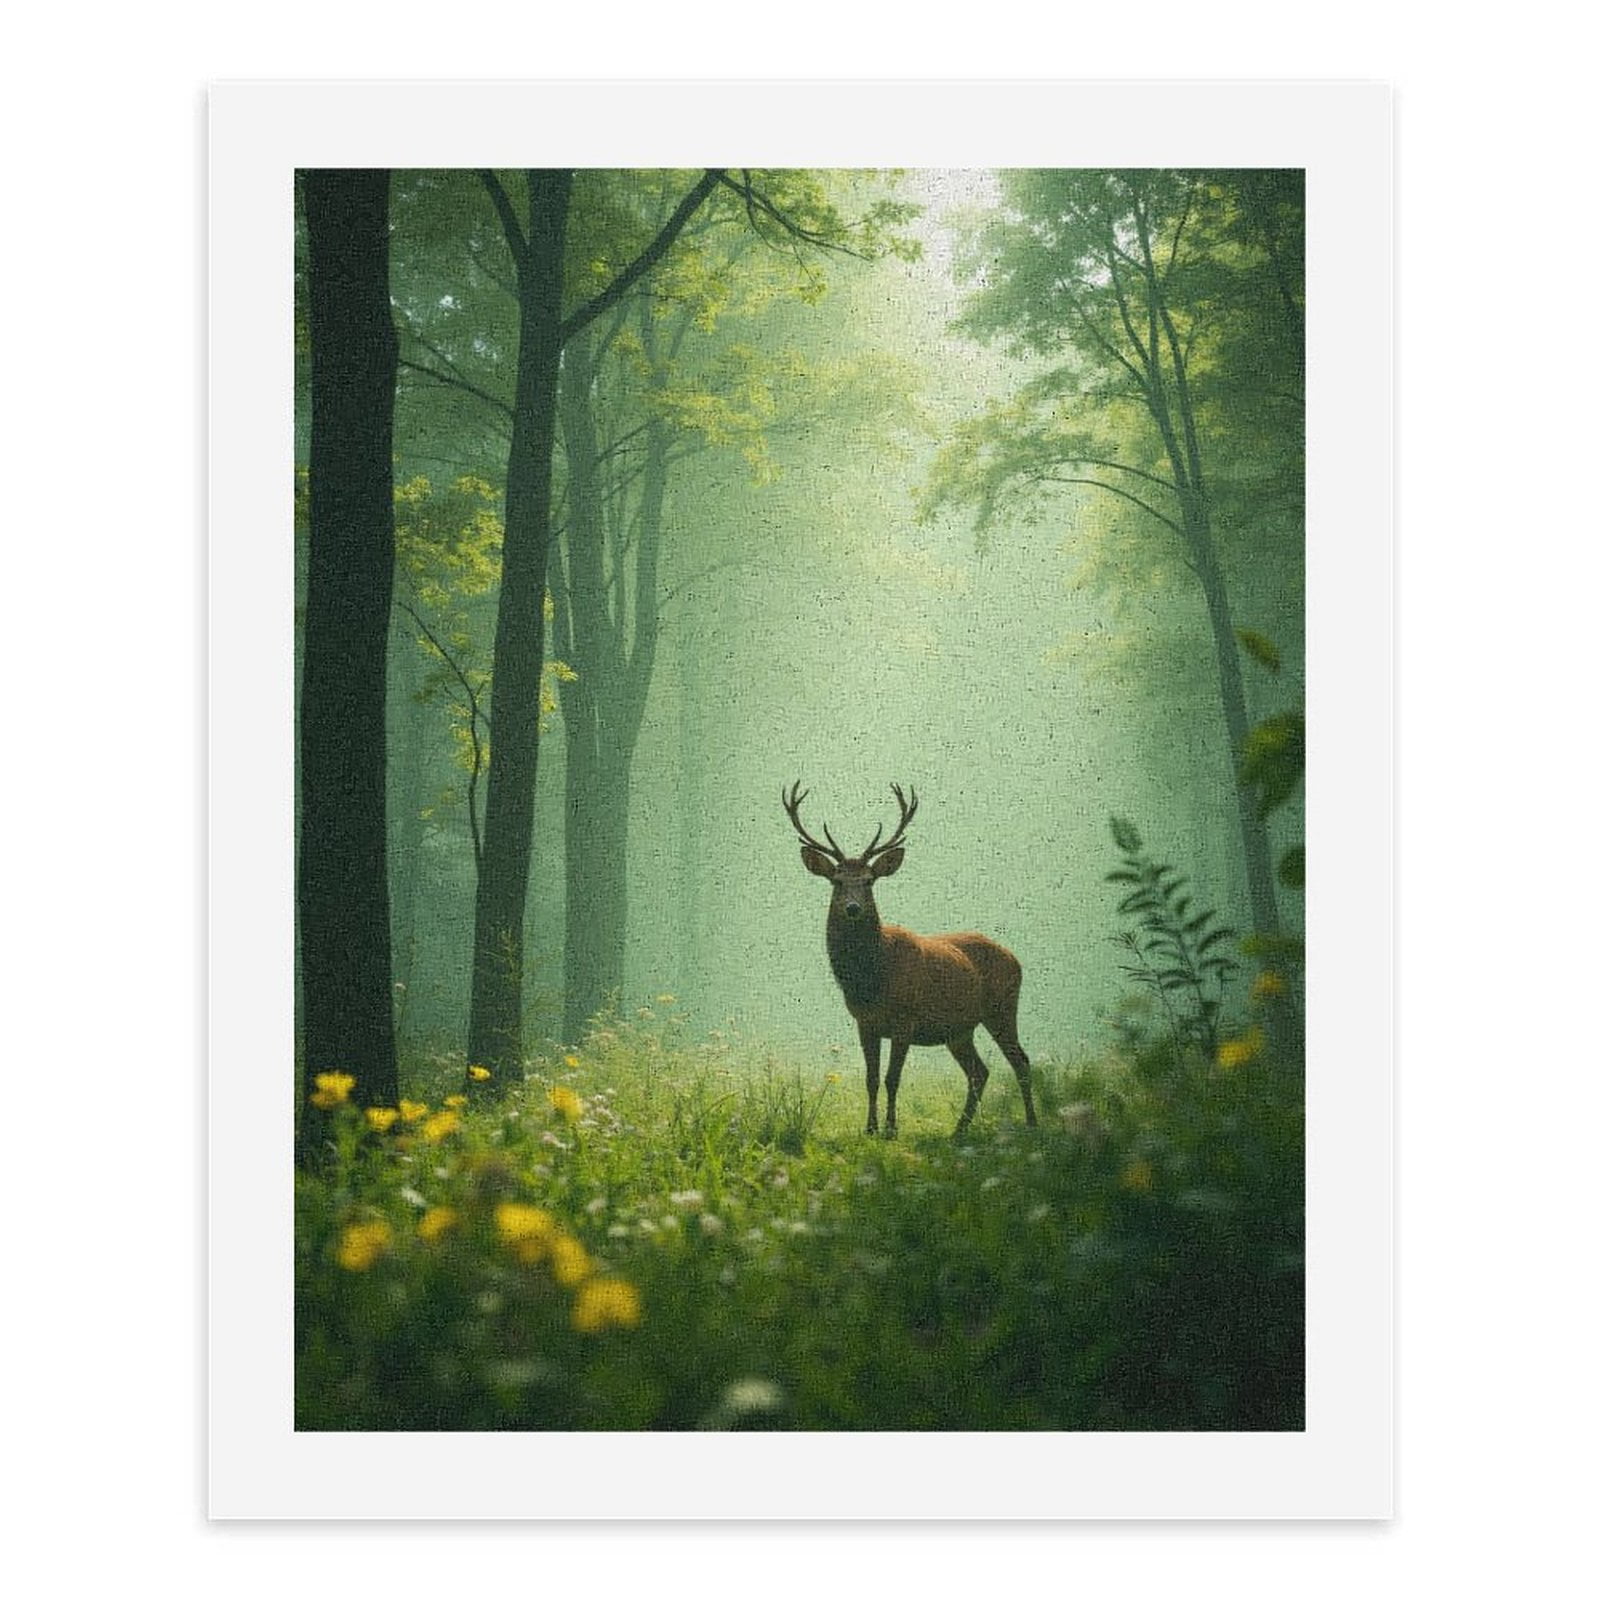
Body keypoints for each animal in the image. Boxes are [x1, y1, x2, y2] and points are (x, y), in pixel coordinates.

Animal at [783, 781, 1038, 1139]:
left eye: (869, 881)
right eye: (837, 881)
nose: (852, 908)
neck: (873, 979)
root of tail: (1014, 957)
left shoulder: (905, 1019)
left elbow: (892, 1078)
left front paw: (891, 1129)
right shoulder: (864, 1022)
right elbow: (871, 1078)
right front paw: (870, 1129)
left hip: (1002, 1007)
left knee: (1020, 1061)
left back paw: (1031, 1123)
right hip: (959, 1029)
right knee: (979, 1071)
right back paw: (959, 1130)